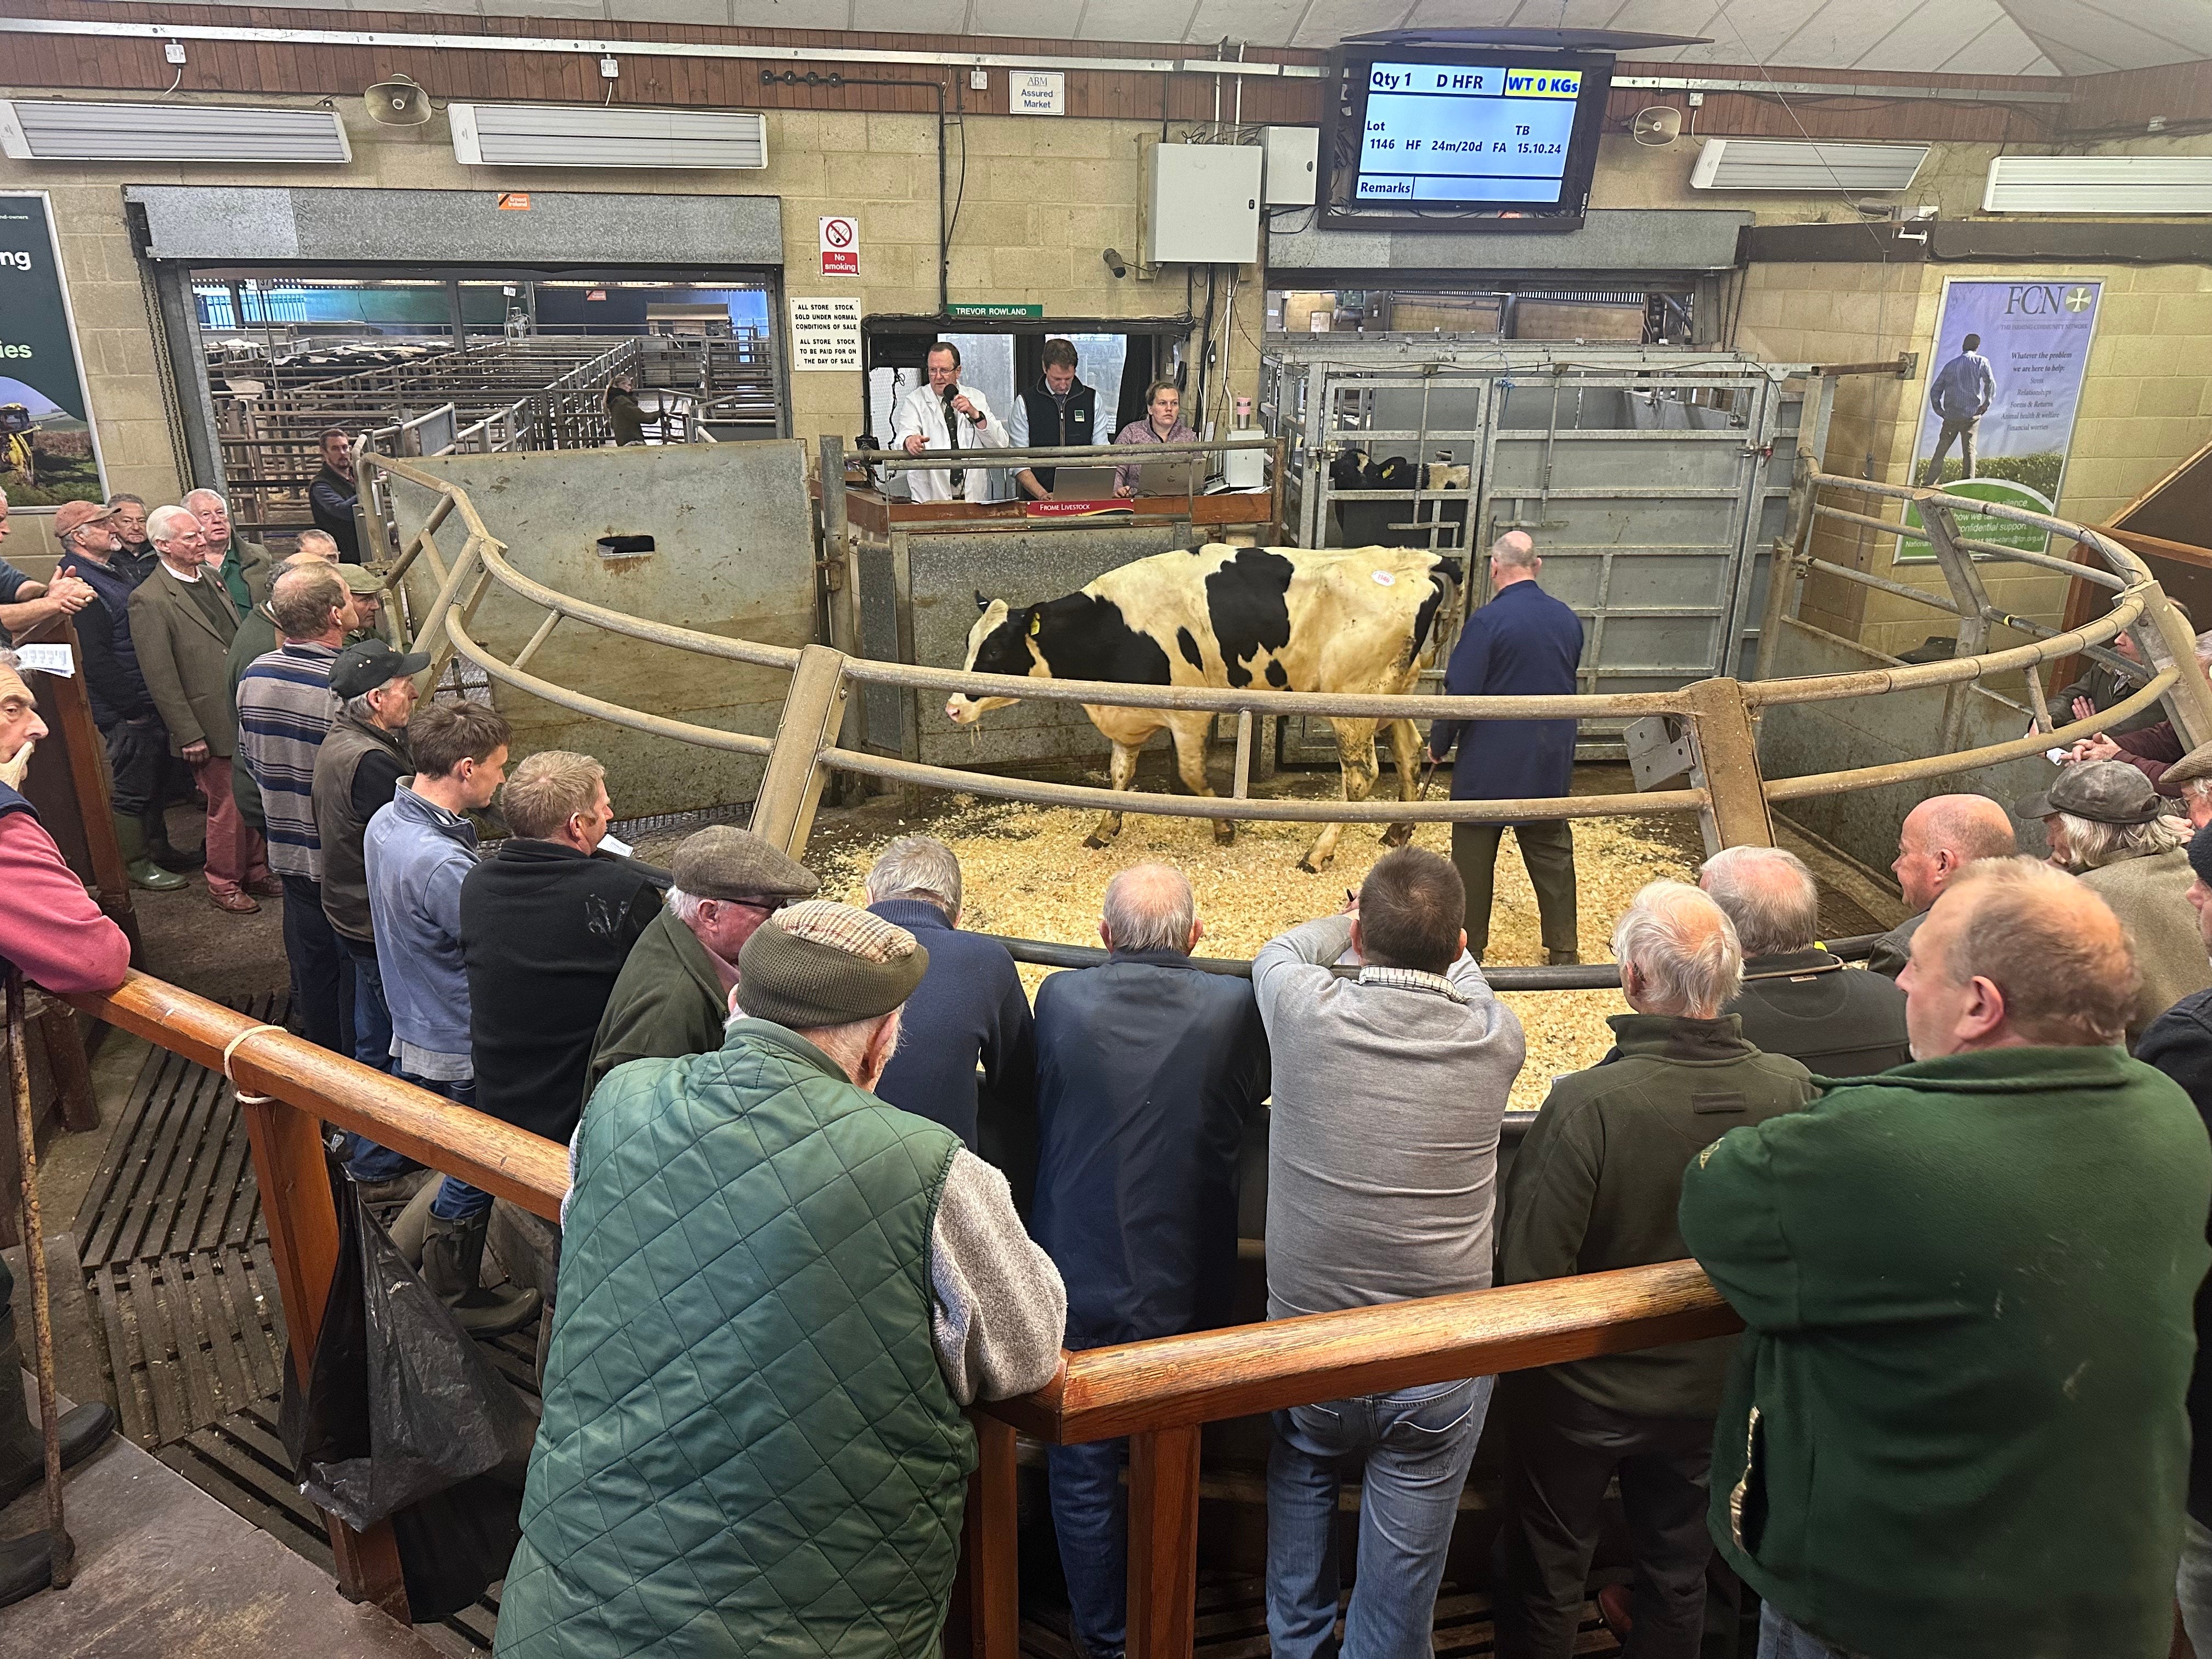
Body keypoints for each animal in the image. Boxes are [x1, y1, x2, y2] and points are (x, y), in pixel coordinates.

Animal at [942, 553, 1460, 876]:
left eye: (995, 650)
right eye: (968, 641)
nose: (952, 706)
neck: (1114, 626)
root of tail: (1414, 561)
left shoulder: (1189, 715)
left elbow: (1191, 776)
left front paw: (1224, 826)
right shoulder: (1124, 714)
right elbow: (1118, 775)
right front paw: (1104, 830)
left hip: (1352, 703)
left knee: (1361, 776)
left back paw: (1318, 852)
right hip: (1396, 693)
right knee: (1409, 753)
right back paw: (1397, 831)